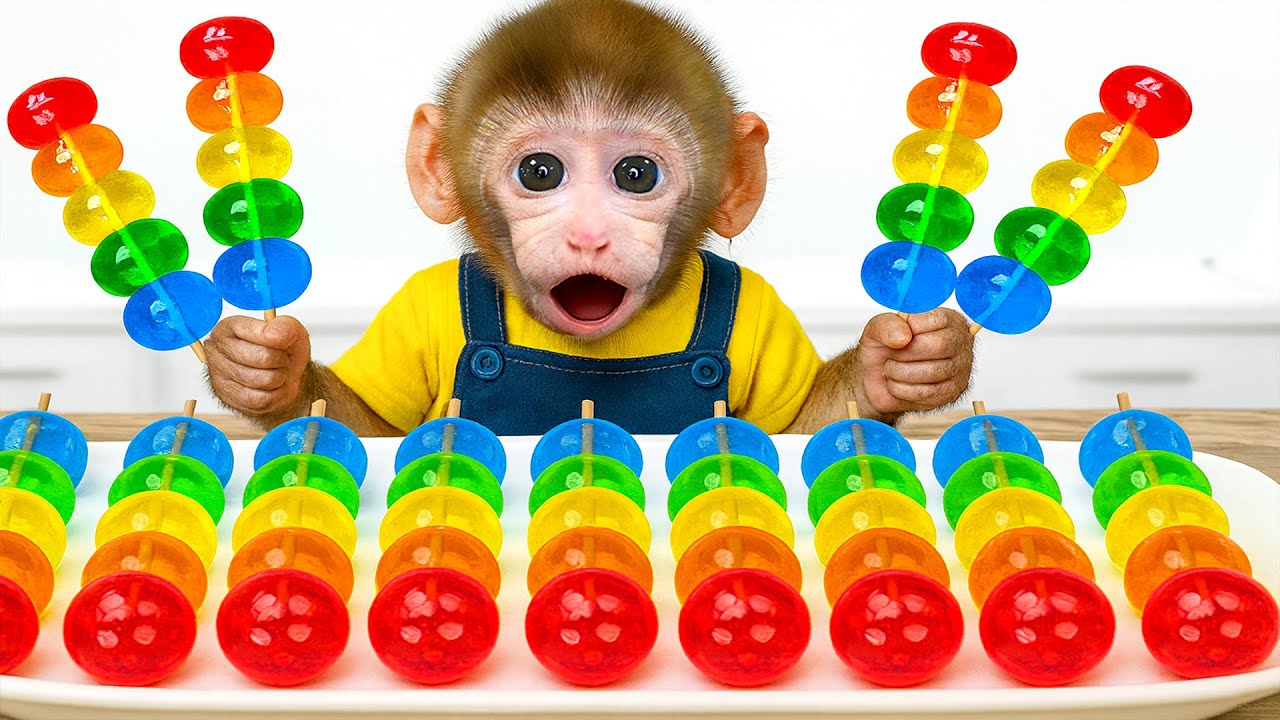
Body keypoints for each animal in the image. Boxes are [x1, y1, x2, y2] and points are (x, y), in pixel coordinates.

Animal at [204, 0, 974, 437]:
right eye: (539, 172)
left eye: (636, 176)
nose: (589, 235)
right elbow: (356, 428)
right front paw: (266, 372)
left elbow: (812, 427)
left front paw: (901, 363)